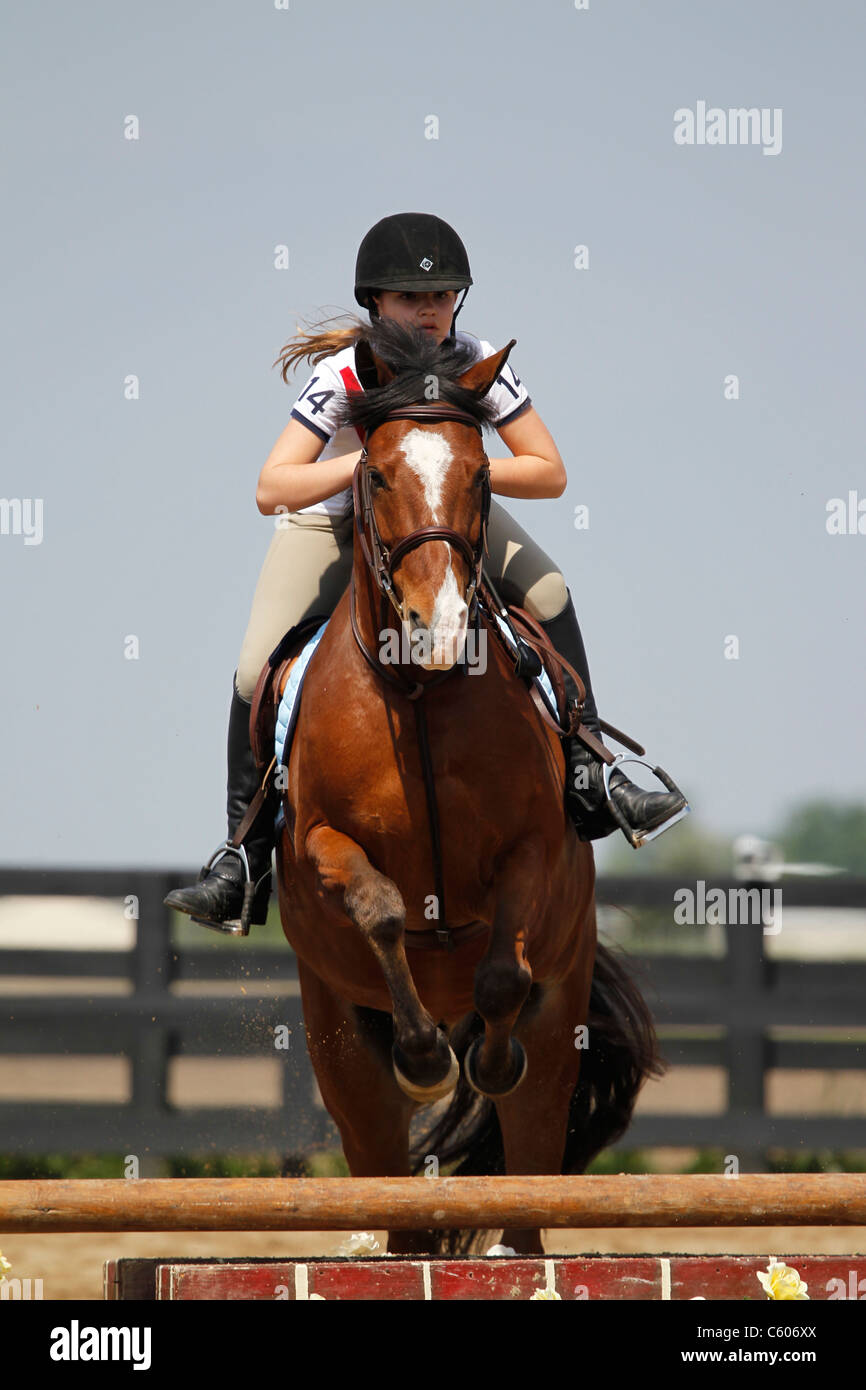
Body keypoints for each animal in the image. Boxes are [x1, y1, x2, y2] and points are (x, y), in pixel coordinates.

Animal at [268, 320, 662, 1254]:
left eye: (482, 475)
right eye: (375, 474)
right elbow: (379, 906)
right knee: (381, 1160)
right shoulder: (321, 842)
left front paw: (484, 1057)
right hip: (338, 1037)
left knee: (530, 1145)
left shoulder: (535, 849)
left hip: (562, 1018)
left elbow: (500, 980)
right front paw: (424, 1062)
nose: (440, 628)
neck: (422, 692)